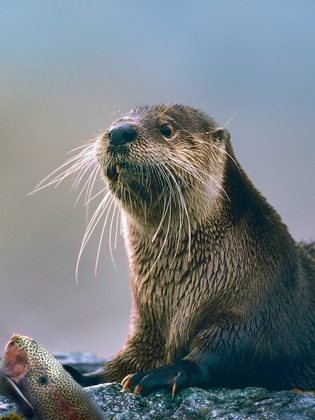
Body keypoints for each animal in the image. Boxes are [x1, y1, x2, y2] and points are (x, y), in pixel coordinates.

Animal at [58, 104, 314, 394]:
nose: (119, 132)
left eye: (166, 129)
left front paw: (158, 375)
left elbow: (225, 354)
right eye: (115, 122)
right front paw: (78, 375)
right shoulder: (147, 323)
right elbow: (123, 362)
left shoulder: (260, 308)